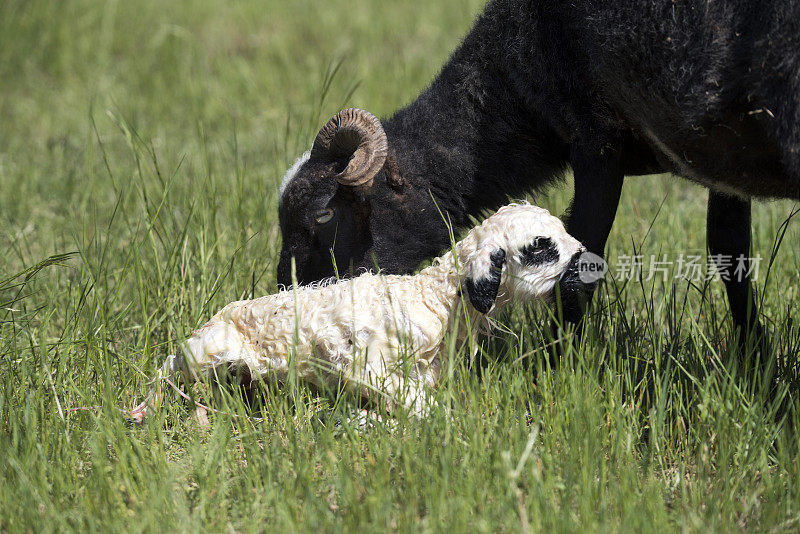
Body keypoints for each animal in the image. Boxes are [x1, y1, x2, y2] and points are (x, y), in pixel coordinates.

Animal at [134, 204, 592, 422]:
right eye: (540, 246)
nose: (588, 259)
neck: (431, 299)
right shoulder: (369, 366)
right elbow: (421, 404)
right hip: (208, 352)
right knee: (166, 368)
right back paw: (144, 409)